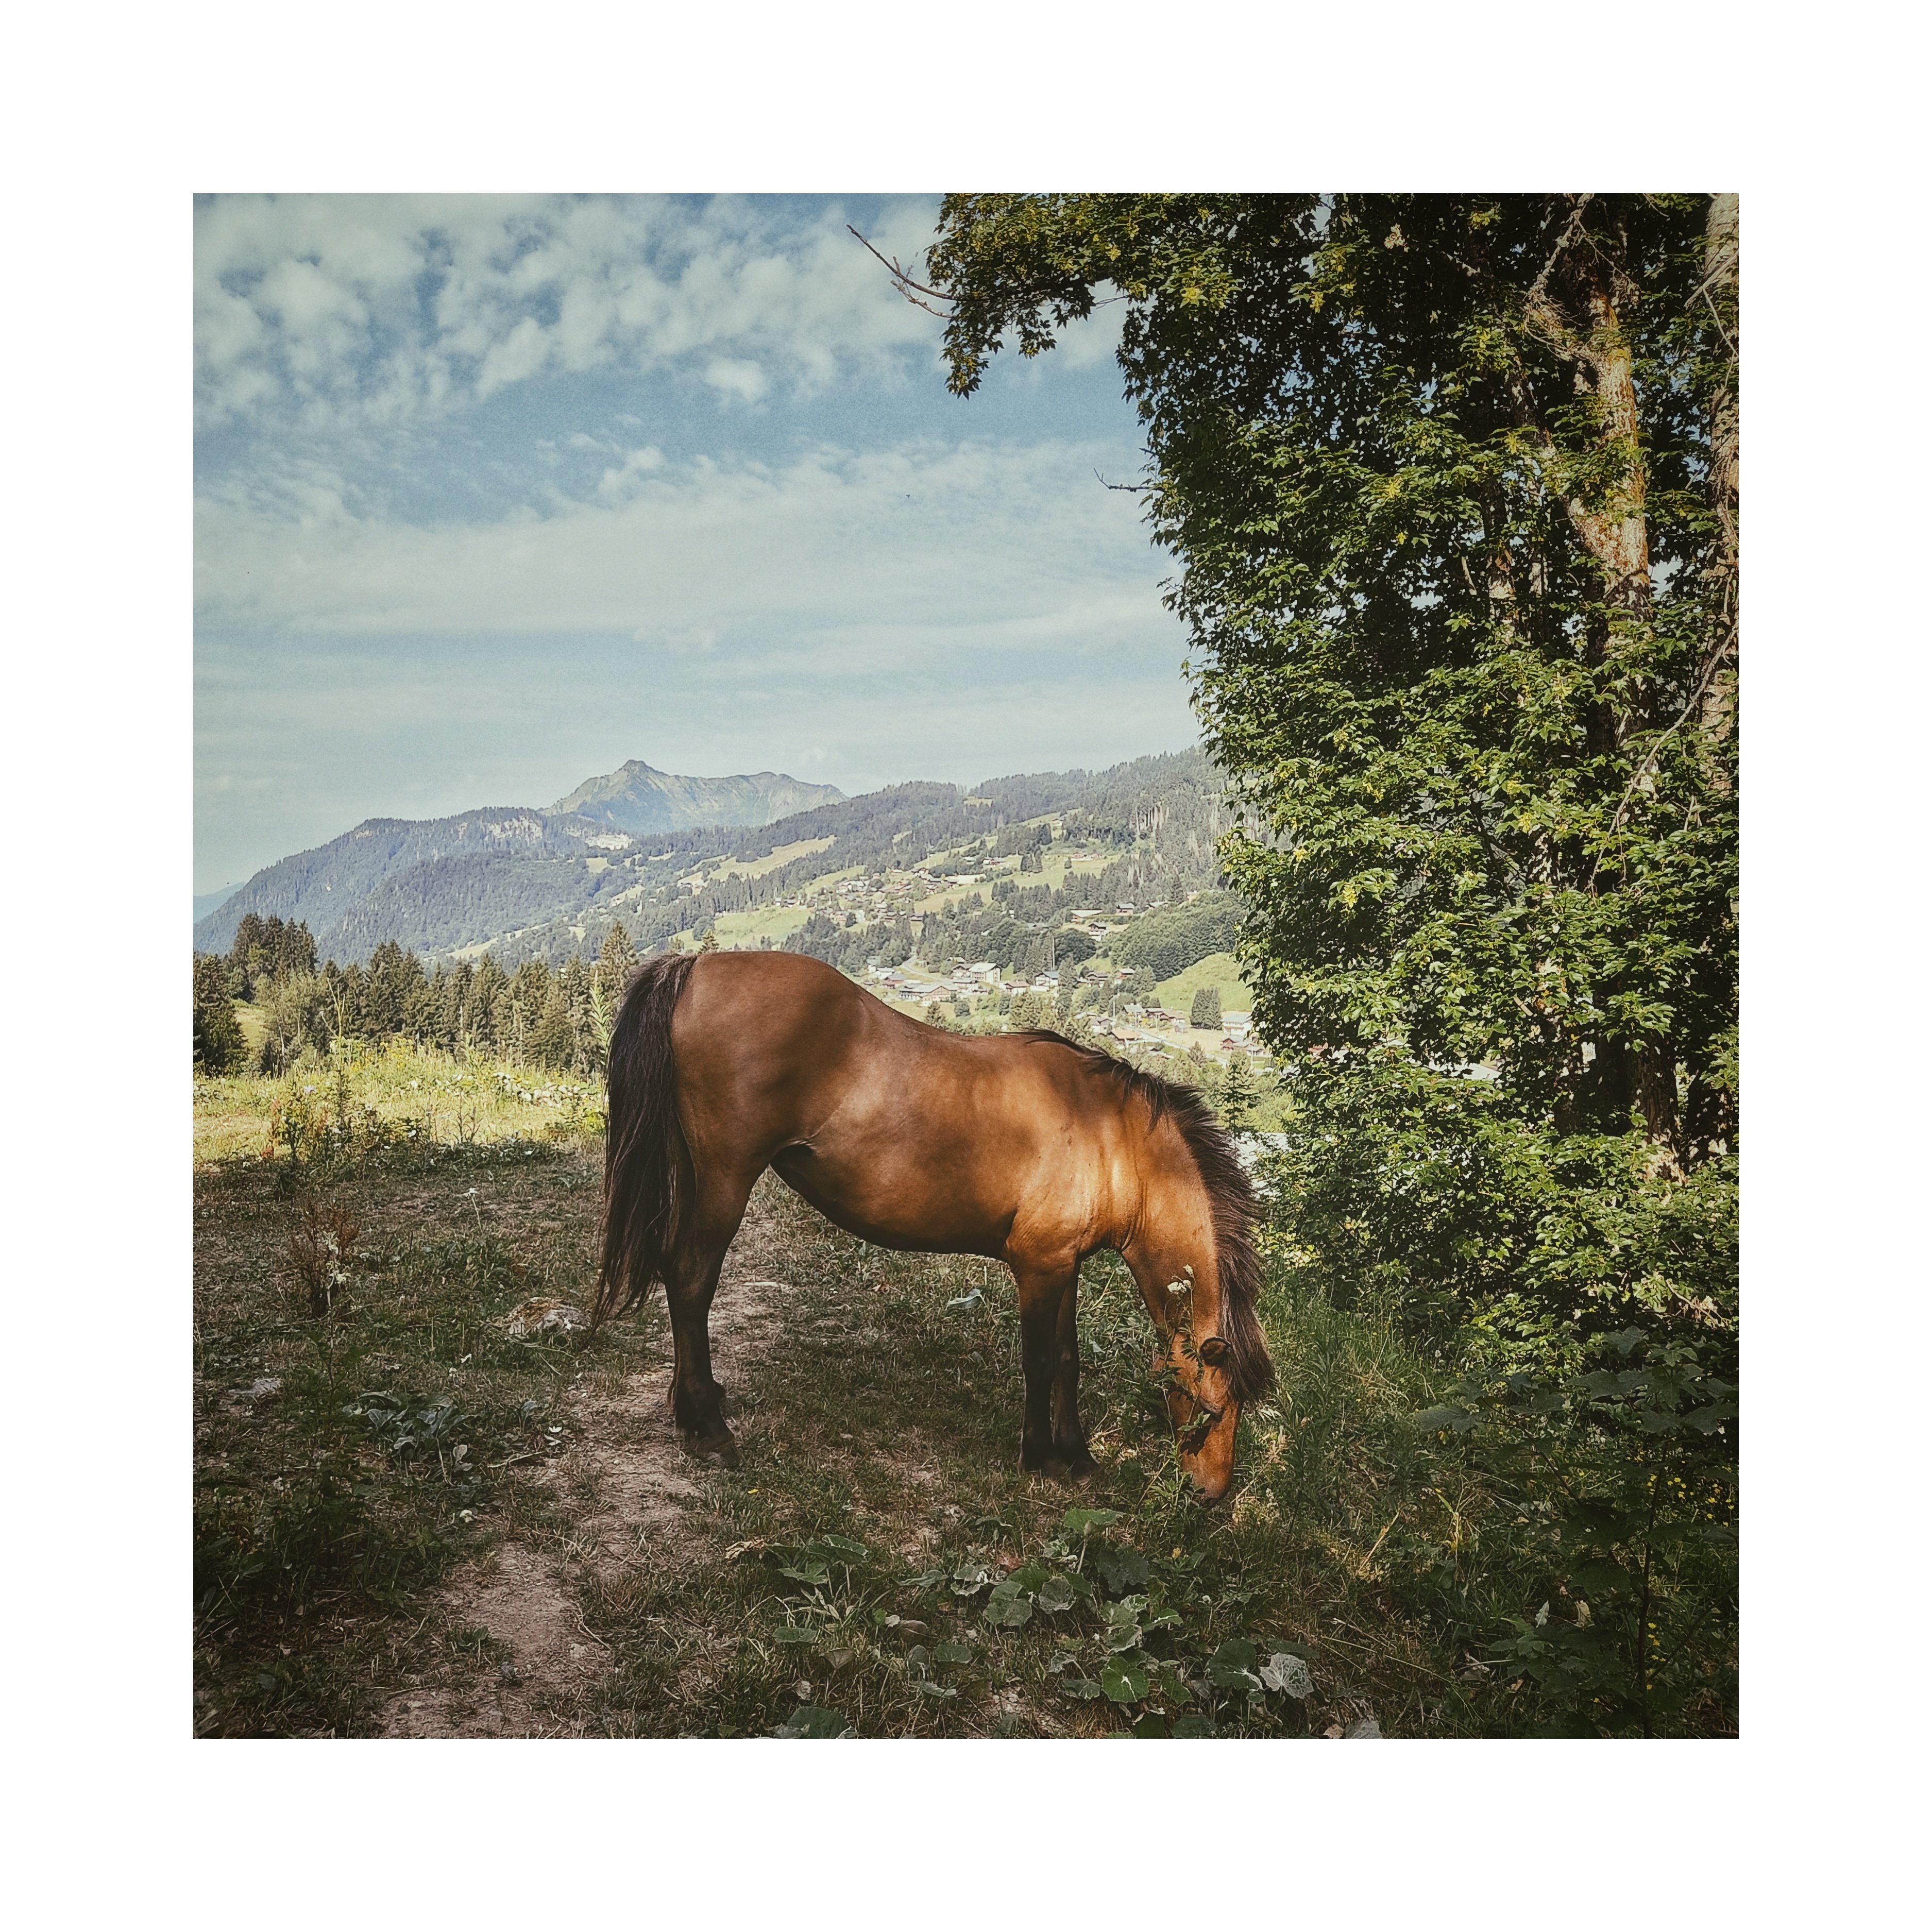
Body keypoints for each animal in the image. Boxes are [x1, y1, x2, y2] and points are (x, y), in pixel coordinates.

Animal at [593, 950, 1274, 1501]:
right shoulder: (1038, 1266)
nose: (1211, 1494)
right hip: (725, 1182)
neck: (1111, 1135)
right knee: (690, 1281)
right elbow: (1040, 1360)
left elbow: (1068, 1359)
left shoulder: (1064, 1265)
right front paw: (1040, 1456)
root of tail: (696, 966)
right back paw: (708, 1428)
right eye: (1212, 1407)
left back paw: (692, 1409)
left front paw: (1077, 1457)